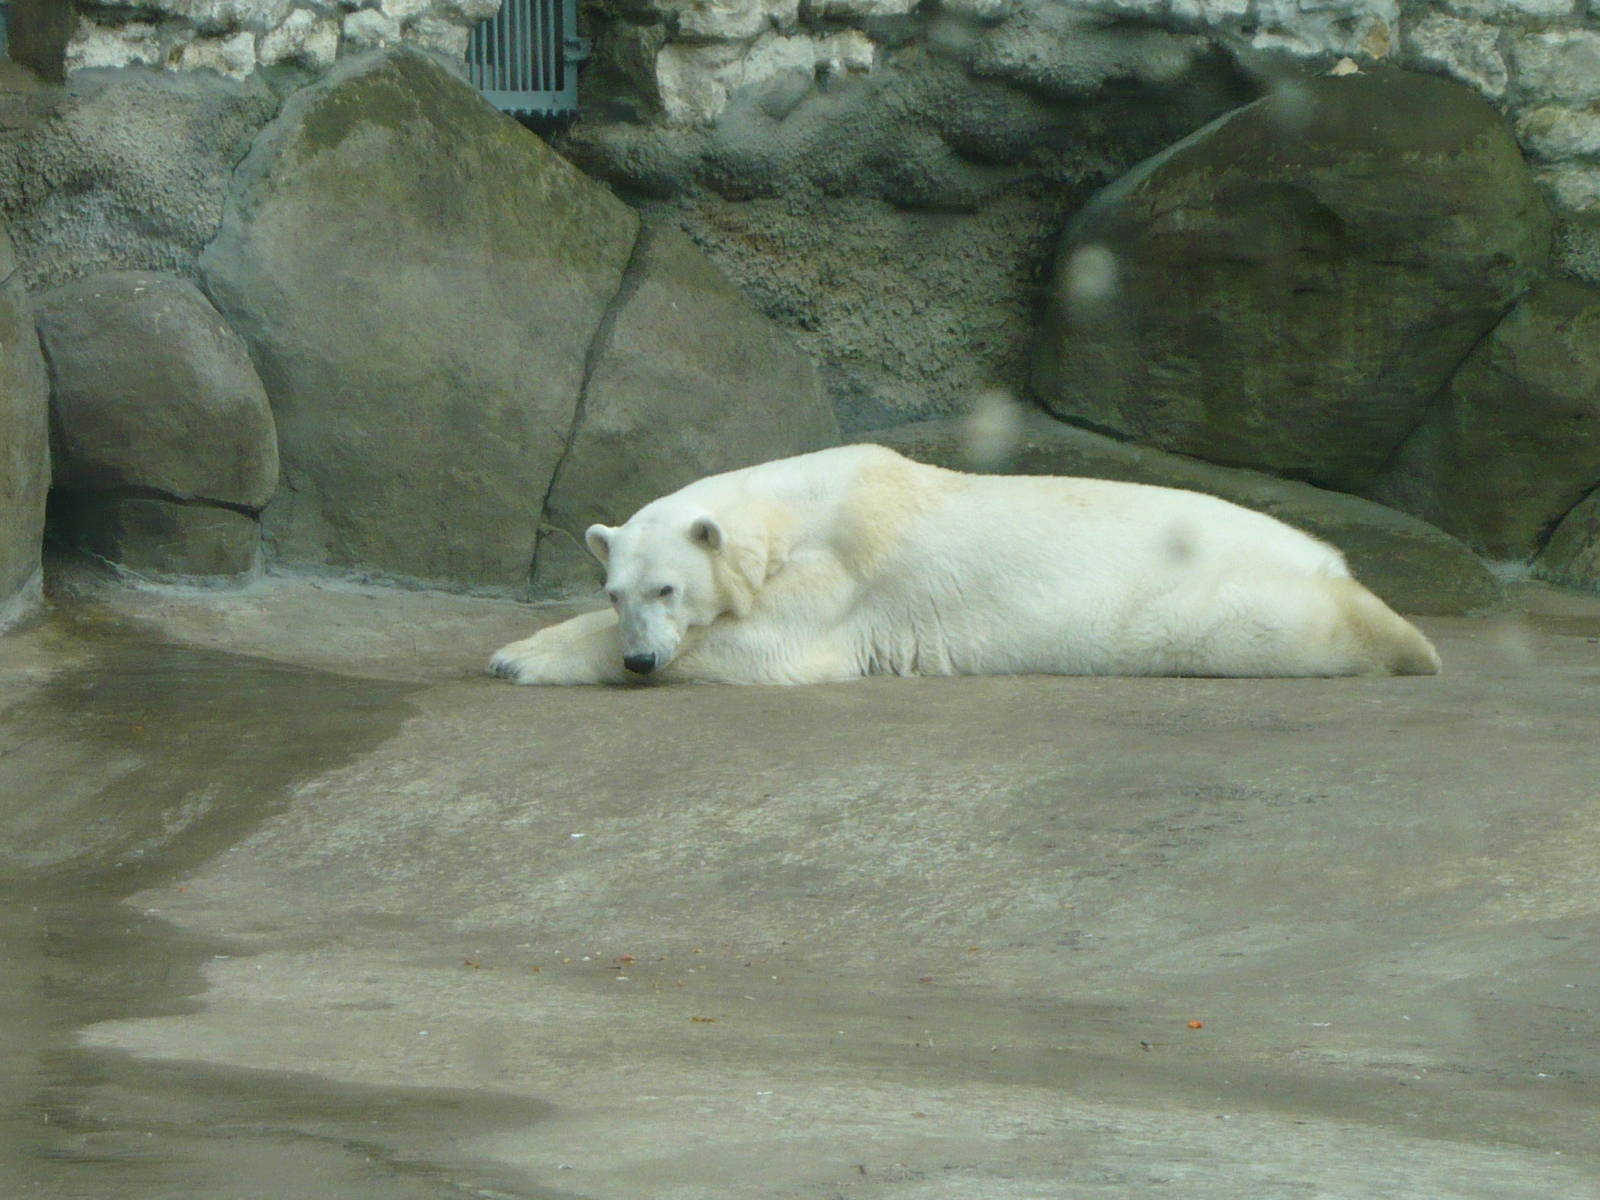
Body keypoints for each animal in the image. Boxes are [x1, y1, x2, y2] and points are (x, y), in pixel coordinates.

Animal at [488, 444, 1440, 686]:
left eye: (668, 587)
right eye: (617, 591)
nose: (641, 659)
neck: (801, 504)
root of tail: (1322, 549)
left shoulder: (846, 579)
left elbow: (768, 649)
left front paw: (526, 658)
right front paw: (520, 644)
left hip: (1200, 601)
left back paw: (1407, 642)